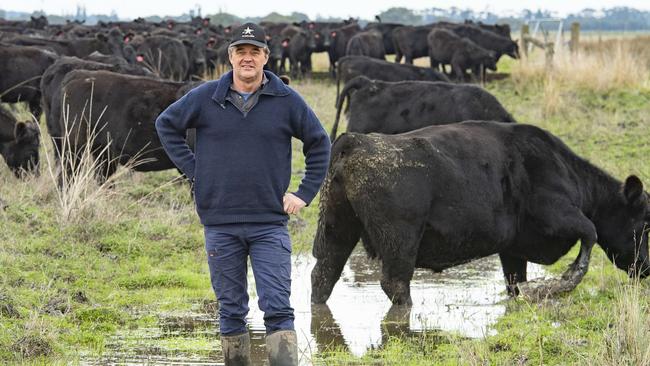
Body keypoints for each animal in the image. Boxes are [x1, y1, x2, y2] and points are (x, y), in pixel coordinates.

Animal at [310, 121, 648, 304]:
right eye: (646, 223)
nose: (646, 268)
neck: (568, 172)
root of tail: (356, 141)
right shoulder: (558, 212)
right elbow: (590, 232)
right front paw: (559, 284)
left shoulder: (514, 247)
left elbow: (515, 281)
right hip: (400, 241)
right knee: (395, 283)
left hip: (336, 228)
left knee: (323, 274)